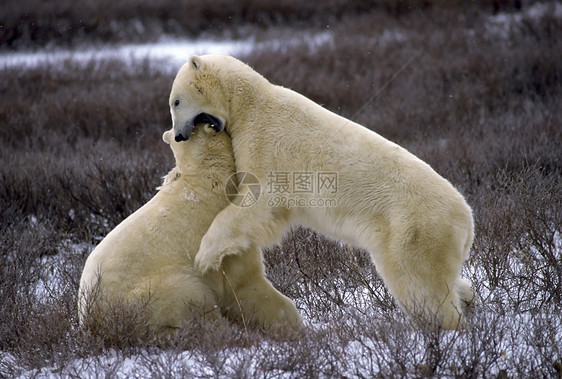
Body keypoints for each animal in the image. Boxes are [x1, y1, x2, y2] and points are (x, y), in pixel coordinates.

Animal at [77, 124, 302, 338]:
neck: (209, 179)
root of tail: (92, 320)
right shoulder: (223, 243)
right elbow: (246, 285)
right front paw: (296, 328)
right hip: (154, 292)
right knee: (193, 300)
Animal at [170, 54, 472, 330]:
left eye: (175, 101)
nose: (177, 135)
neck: (251, 104)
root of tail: (467, 221)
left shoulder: (268, 146)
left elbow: (259, 200)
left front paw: (204, 257)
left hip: (413, 231)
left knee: (420, 285)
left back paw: (444, 326)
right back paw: (468, 297)